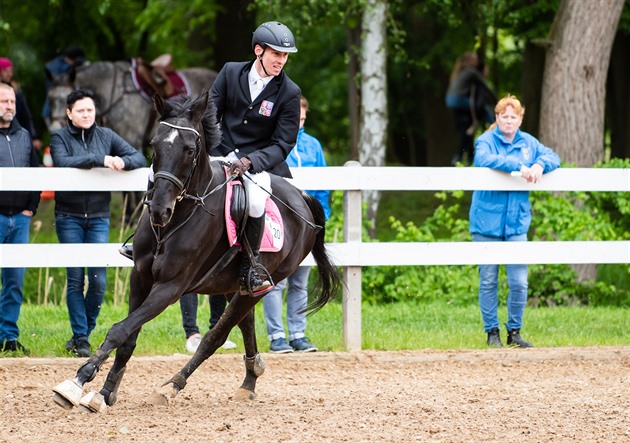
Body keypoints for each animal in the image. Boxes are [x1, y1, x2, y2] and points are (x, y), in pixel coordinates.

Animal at [52, 92, 344, 414]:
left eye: (190, 150)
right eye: (154, 145)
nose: (159, 210)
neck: (176, 219)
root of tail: (302, 196)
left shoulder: (170, 287)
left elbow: (120, 329)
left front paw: (77, 381)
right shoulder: (140, 277)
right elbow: (128, 336)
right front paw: (104, 394)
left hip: (261, 285)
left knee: (215, 337)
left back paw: (172, 386)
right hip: (233, 286)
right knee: (245, 326)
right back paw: (250, 380)